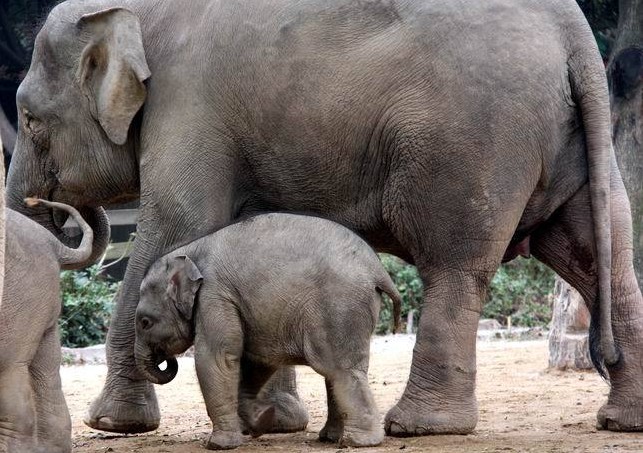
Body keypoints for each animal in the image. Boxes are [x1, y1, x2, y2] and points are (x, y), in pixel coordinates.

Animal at [136, 213, 402, 448]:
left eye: (145, 322)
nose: (166, 358)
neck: (189, 251)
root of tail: (379, 271)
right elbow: (257, 361)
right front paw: (262, 421)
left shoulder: (214, 295)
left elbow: (216, 358)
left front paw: (218, 445)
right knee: (336, 373)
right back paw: (330, 438)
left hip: (339, 306)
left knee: (340, 369)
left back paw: (359, 442)